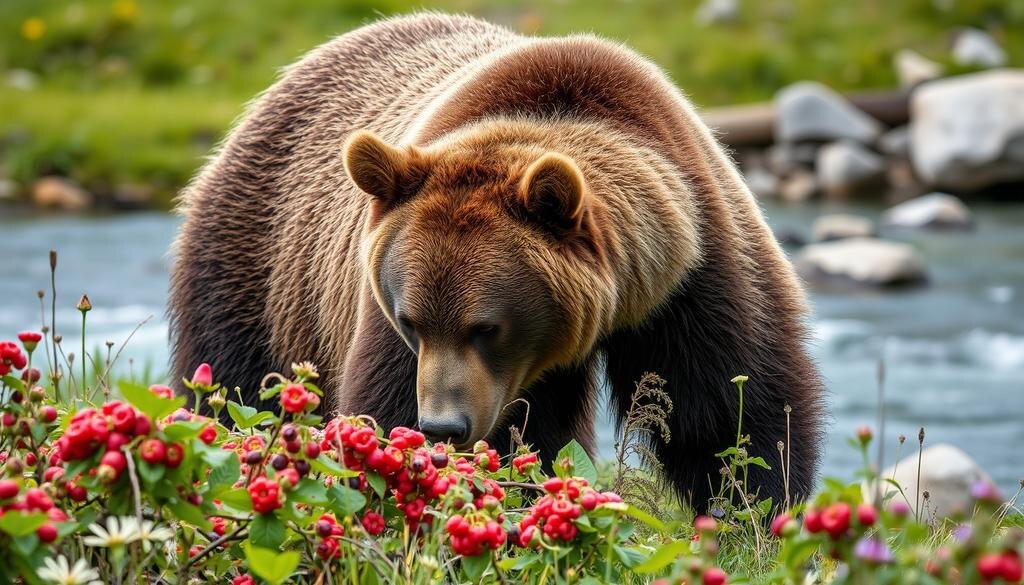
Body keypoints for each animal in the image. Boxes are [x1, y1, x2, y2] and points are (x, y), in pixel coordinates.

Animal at [169, 13, 825, 509]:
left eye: (485, 326)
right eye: (411, 321)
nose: (444, 426)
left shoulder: (695, 268)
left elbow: (731, 414)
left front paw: (750, 512)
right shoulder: (382, 316)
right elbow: (382, 404)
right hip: (262, 270)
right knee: (237, 388)